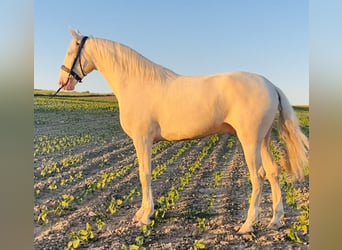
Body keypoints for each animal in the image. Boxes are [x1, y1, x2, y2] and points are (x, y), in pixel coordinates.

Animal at [57, 28, 308, 233]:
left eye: (70, 52)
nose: (63, 82)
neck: (138, 83)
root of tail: (270, 85)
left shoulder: (142, 139)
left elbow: (144, 174)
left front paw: (145, 216)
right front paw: (142, 213)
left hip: (249, 141)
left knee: (258, 178)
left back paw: (247, 225)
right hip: (262, 140)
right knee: (273, 173)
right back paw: (275, 220)